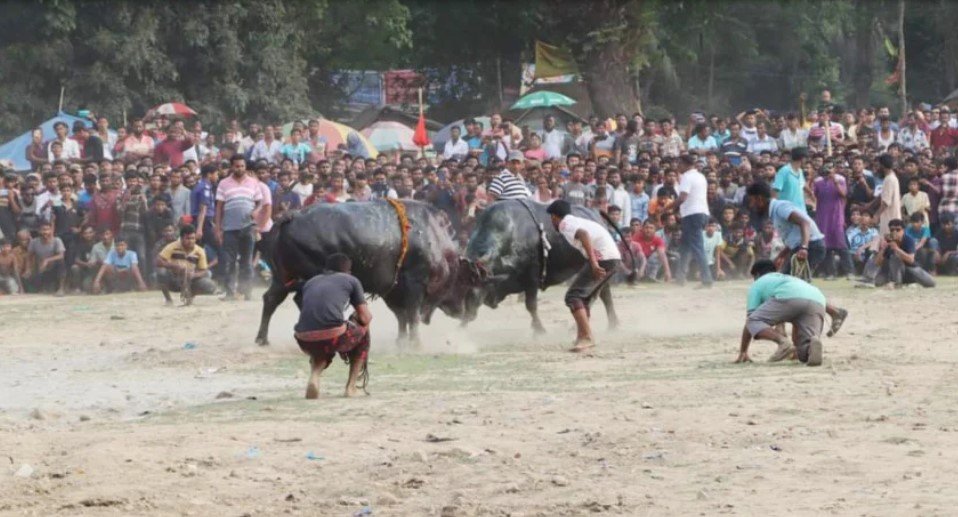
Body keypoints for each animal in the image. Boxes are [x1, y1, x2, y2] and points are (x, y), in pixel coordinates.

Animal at [255, 200, 476, 344]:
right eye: (466, 282)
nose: (468, 314)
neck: (434, 239)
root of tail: (292, 217)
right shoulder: (414, 284)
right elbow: (411, 315)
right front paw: (414, 342)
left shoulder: (393, 290)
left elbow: (402, 316)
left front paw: (402, 340)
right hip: (307, 278)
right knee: (300, 300)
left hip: (281, 279)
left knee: (271, 299)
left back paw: (262, 339)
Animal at [462, 200, 632, 332]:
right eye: (459, 286)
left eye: (475, 288)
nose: (462, 313)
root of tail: (594, 211)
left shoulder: (532, 277)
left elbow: (531, 305)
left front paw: (539, 329)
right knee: (602, 294)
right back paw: (610, 324)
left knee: (601, 295)